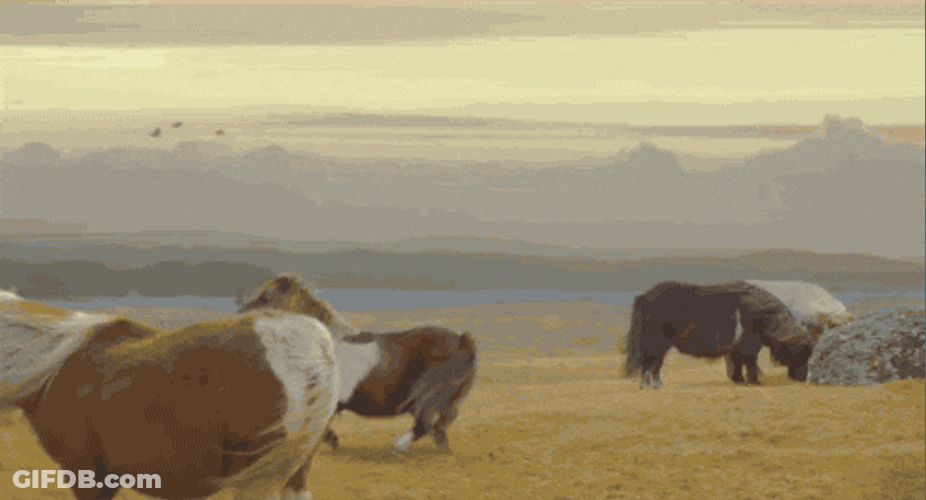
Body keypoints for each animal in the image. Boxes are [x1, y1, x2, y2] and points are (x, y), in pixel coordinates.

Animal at [1, 276, 357, 500]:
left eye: (262, 297)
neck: (53, 364)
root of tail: (317, 350)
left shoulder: (87, 474)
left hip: (260, 479)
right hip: (289, 473)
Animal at [237, 284, 478, 455]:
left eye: (266, 297)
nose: (240, 315)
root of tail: (462, 341)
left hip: (431, 394)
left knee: (426, 421)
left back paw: (401, 445)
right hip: (443, 396)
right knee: (442, 418)